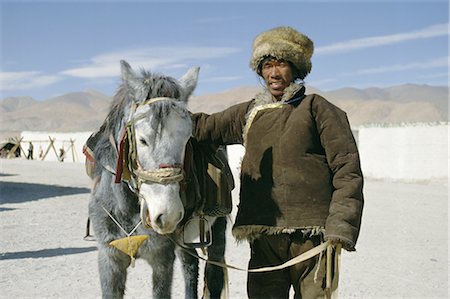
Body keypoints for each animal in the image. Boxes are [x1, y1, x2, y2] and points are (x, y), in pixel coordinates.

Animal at [88, 59, 229, 298]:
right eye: (142, 140)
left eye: (187, 140)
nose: (168, 215)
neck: (127, 209)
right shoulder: (109, 257)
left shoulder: (162, 259)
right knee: (190, 265)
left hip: (217, 228)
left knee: (214, 274)